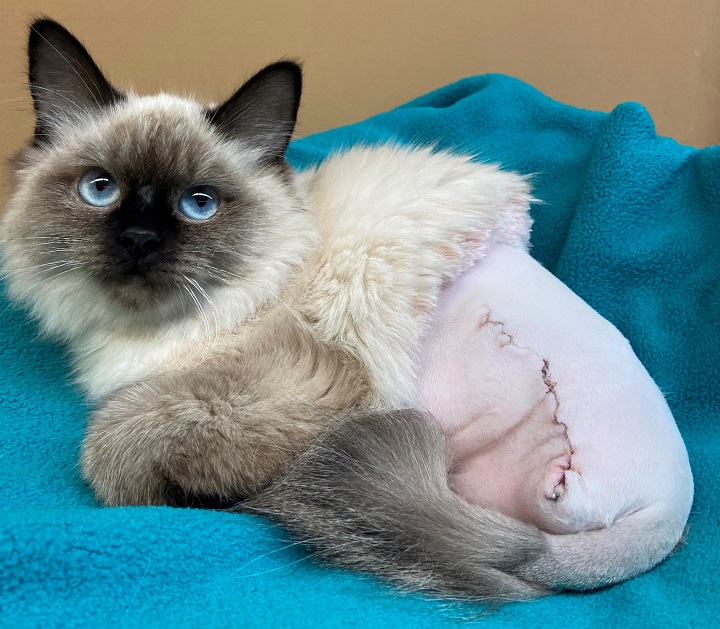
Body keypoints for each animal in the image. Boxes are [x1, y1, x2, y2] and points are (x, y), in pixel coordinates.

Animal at [1, 19, 692, 603]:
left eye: (199, 204)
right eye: (100, 189)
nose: (140, 240)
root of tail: (668, 511)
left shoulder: (292, 387)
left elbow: (114, 442)